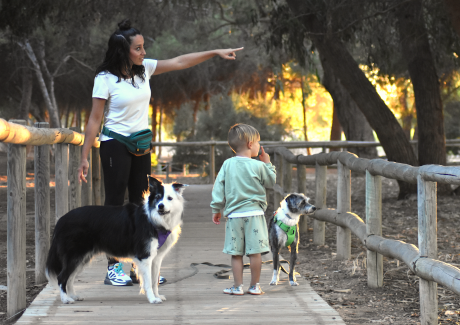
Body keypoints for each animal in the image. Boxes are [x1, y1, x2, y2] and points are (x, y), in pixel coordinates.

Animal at [45, 176, 185, 302]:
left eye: (169, 198)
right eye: (157, 197)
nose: (160, 206)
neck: (154, 219)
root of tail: (61, 220)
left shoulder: (156, 258)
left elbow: (154, 280)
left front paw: (157, 296)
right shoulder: (145, 256)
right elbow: (148, 282)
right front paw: (152, 299)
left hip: (81, 258)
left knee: (70, 278)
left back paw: (74, 296)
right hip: (74, 255)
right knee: (62, 277)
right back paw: (66, 299)